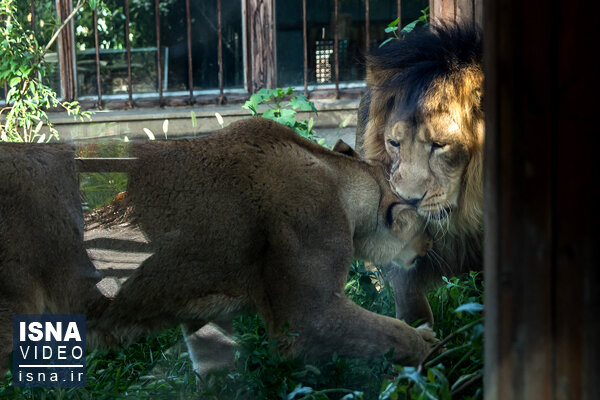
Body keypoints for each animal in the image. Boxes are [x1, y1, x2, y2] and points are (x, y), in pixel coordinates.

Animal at [90, 117, 436, 370]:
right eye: (422, 225)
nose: (431, 244)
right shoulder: (308, 318)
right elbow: (390, 332)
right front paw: (428, 343)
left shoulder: (204, 309)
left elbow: (213, 364)